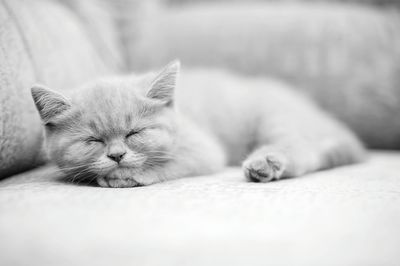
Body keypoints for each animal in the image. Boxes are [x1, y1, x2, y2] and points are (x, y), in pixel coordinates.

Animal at [31, 61, 366, 188]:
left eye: (135, 132)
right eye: (93, 141)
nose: (116, 156)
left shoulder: (204, 149)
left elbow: (171, 163)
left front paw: (128, 175)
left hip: (277, 119)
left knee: (304, 150)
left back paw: (266, 165)